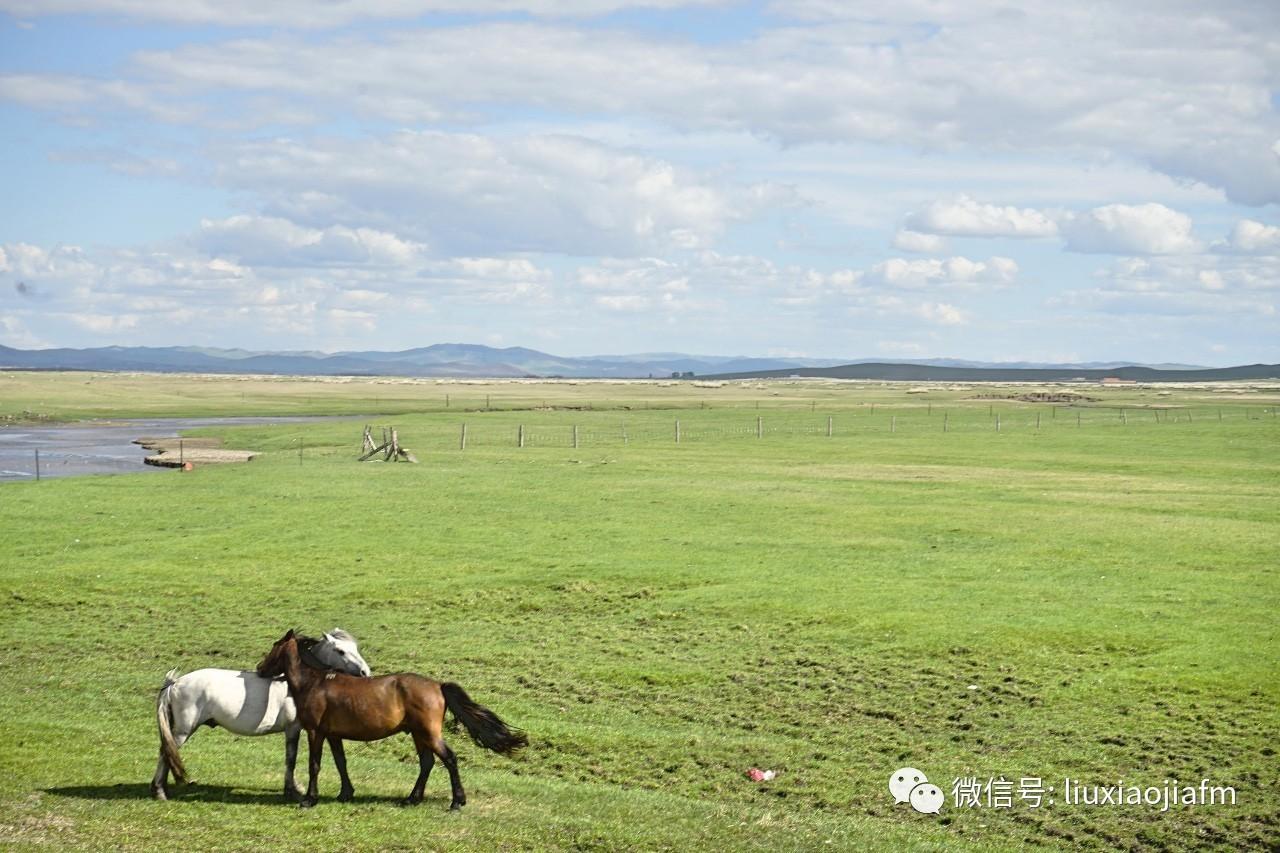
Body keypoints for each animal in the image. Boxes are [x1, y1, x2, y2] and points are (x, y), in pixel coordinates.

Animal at [151, 625, 371, 799]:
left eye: (355, 648)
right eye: (340, 651)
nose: (365, 672)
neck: (300, 682)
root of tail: (175, 682)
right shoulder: (293, 728)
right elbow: (291, 758)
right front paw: (292, 790)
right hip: (183, 730)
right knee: (165, 752)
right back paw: (159, 791)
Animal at [257, 627, 527, 809]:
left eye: (274, 646)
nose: (259, 669)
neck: (315, 682)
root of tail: (438, 686)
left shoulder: (315, 732)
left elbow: (315, 764)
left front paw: (309, 799)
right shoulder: (333, 735)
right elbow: (340, 762)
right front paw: (345, 793)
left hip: (428, 733)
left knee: (449, 758)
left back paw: (456, 802)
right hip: (418, 734)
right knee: (427, 763)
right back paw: (412, 799)